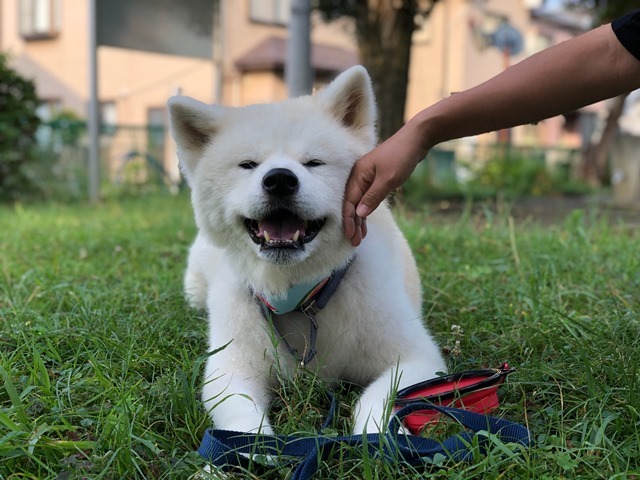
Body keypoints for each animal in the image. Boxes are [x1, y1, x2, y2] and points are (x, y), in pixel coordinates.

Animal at [168, 64, 444, 436]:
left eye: (313, 162)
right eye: (248, 164)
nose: (280, 179)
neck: (298, 296)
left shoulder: (417, 357)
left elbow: (377, 399)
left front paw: (382, 435)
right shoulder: (231, 368)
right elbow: (242, 423)